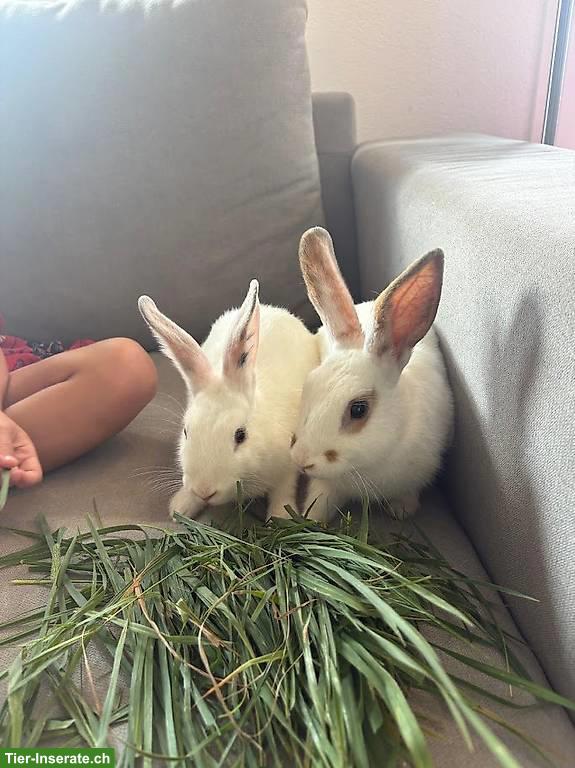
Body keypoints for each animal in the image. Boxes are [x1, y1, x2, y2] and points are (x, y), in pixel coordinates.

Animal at [138, 279, 320, 520]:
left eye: (240, 435)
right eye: (186, 432)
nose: (204, 490)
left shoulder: (287, 465)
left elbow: (283, 491)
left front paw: (281, 516)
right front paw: (181, 506)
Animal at [288, 227, 453, 522]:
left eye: (358, 409)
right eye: (308, 386)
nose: (301, 459)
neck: (369, 465)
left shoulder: (417, 475)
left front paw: (402, 511)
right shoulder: (327, 486)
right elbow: (318, 503)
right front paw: (309, 519)